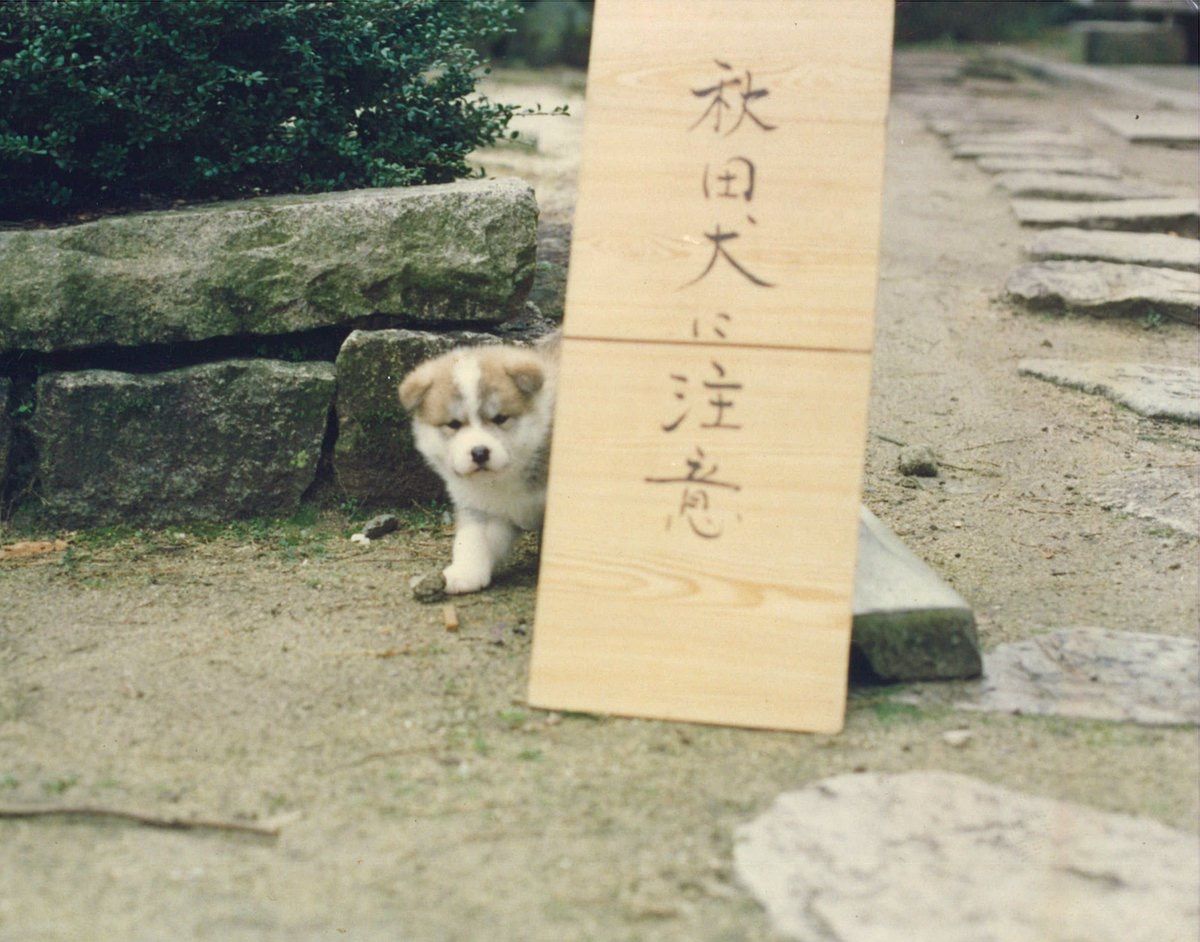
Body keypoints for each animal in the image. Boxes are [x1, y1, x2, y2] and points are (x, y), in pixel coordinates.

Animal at [399, 334, 558, 595]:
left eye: (500, 418)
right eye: (454, 424)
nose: (480, 452)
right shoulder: (481, 507)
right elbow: (472, 542)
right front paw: (465, 573)